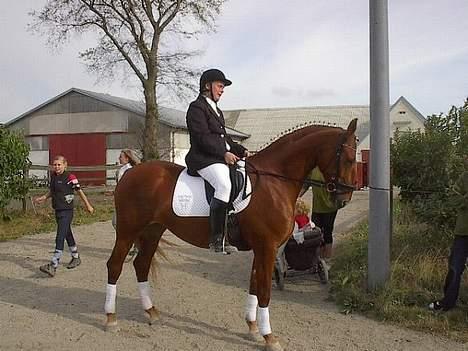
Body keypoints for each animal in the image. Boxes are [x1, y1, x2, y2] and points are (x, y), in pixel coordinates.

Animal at [104, 119, 356, 351]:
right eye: (349, 158)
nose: (344, 199)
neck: (274, 180)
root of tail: (131, 173)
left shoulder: (261, 248)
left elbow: (254, 285)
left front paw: (253, 329)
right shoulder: (268, 247)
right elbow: (264, 291)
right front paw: (270, 337)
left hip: (152, 231)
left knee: (141, 265)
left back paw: (151, 312)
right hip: (128, 231)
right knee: (115, 265)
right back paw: (111, 319)